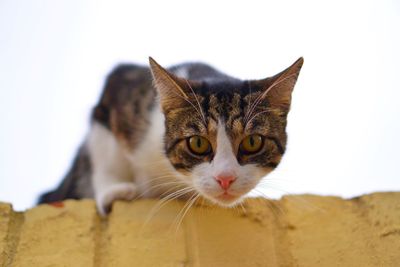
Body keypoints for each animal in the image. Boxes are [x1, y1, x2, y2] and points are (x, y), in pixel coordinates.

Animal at [39, 56, 304, 216]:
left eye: (252, 141)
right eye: (198, 143)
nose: (225, 178)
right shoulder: (116, 93)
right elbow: (107, 156)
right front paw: (113, 191)